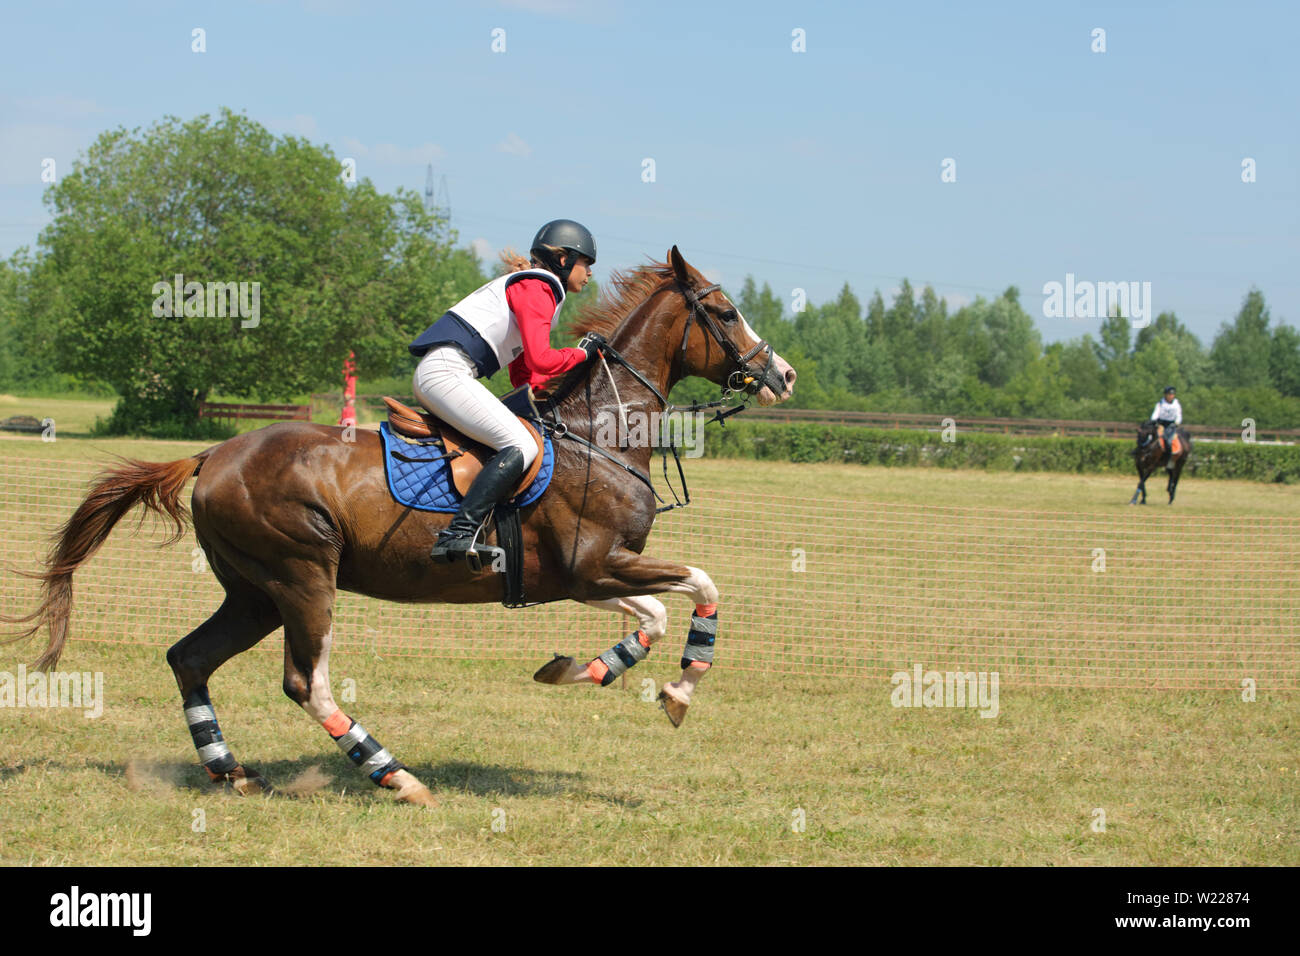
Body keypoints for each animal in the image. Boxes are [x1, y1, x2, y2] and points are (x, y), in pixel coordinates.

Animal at [0, 247, 795, 806]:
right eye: (725, 312)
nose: (781, 375)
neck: (597, 432)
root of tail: (210, 455)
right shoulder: (592, 566)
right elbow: (699, 586)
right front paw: (677, 688)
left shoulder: (579, 578)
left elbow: (661, 611)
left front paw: (591, 670)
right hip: (303, 576)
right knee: (305, 682)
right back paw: (395, 776)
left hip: (255, 592)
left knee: (190, 658)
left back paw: (232, 773)